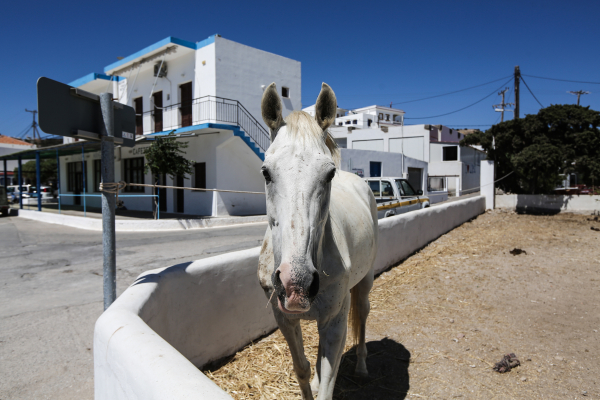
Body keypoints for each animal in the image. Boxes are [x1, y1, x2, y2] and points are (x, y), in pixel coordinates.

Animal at [258, 83, 380, 398]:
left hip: (364, 283)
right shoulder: (284, 318)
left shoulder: (335, 322)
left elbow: (328, 382)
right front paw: (308, 381)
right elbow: (301, 369)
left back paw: (363, 368)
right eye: (266, 172)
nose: (296, 284)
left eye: (329, 173)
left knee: (363, 316)